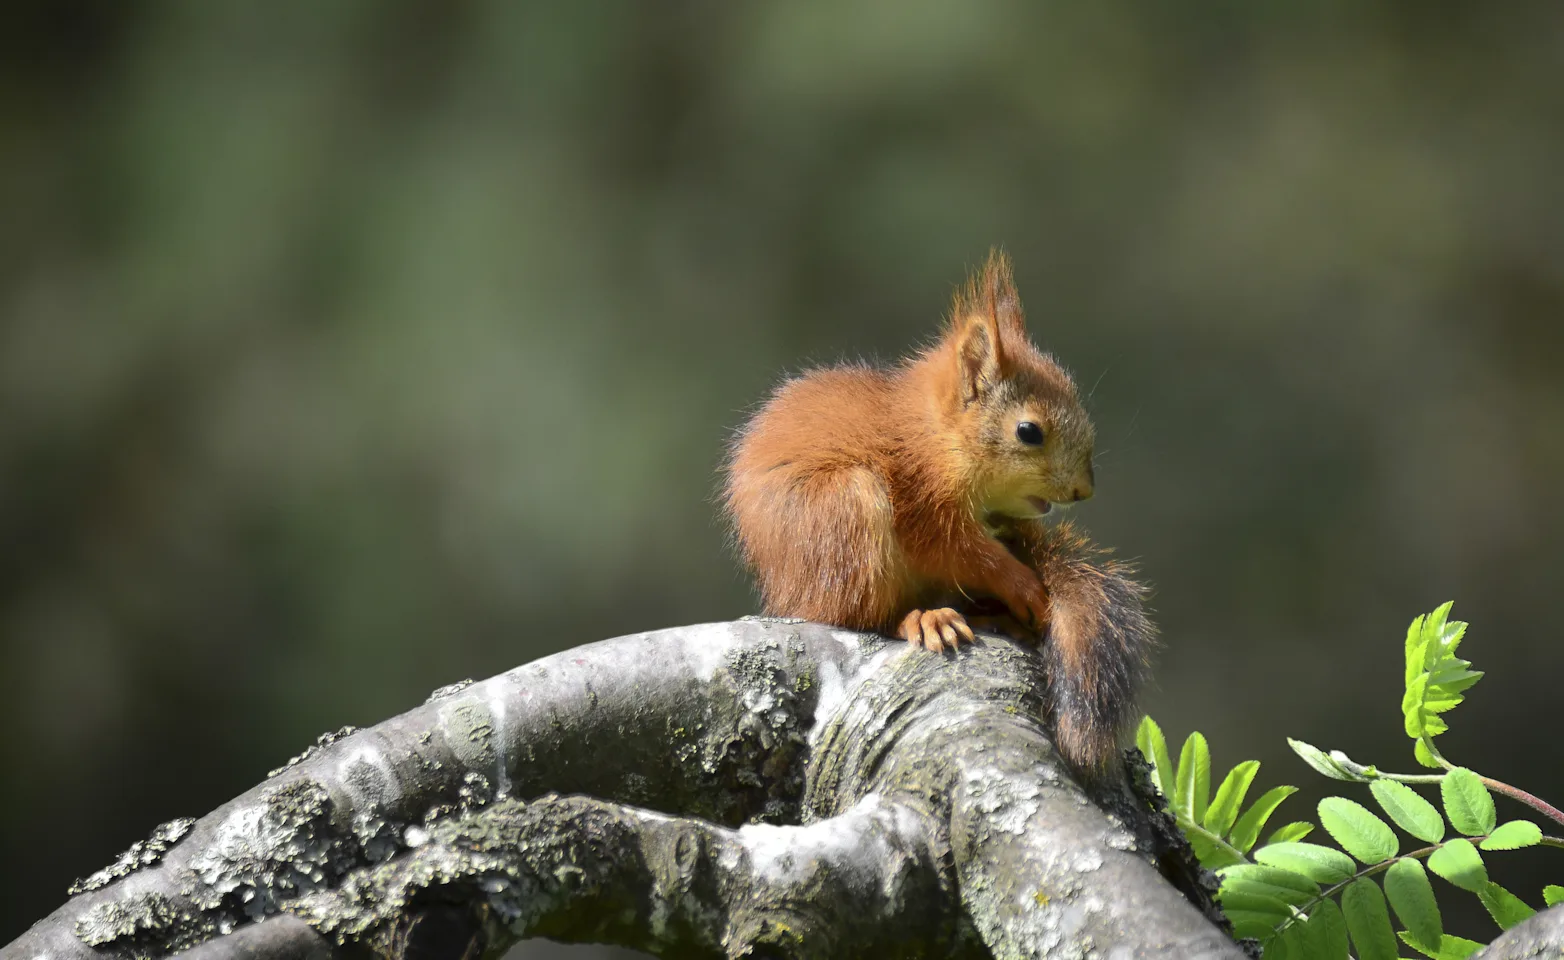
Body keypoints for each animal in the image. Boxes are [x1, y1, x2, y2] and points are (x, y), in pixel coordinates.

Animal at [721, 250, 1154, 771]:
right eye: (1028, 431)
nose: (1084, 490)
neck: (939, 436)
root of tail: (784, 596)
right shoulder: (920, 498)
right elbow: (961, 552)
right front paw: (1023, 584)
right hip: (844, 514)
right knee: (860, 614)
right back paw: (922, 618)